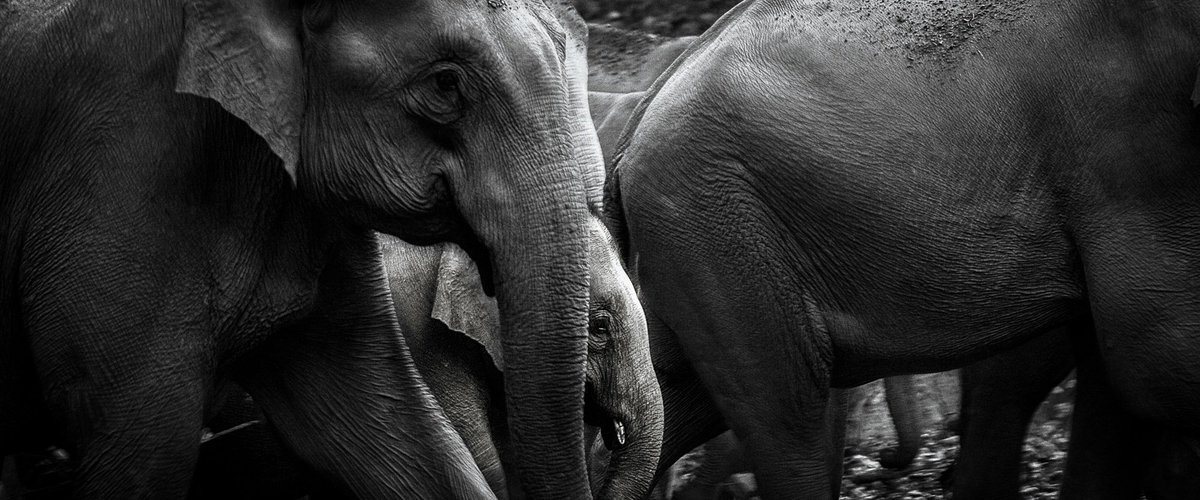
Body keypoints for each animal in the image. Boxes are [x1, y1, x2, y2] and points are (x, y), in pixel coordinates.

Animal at [603, 0, 1200, 498]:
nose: (893, 461)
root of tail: (640, 117)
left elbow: (1119, 374)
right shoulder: (1126, 136)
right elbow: (1158, 357)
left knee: (680, 406)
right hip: (716, 229)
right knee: (790, 418)